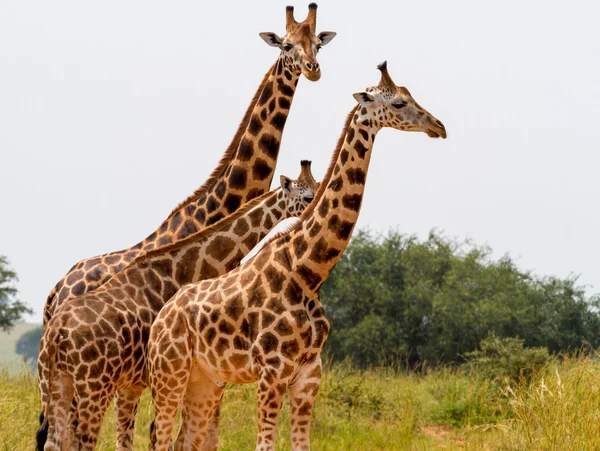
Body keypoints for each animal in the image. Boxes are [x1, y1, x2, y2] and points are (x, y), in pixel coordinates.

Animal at [36, 163, 318, 451]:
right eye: (307, 197)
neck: (183, 269)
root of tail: (56, 331)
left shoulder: (139, 382)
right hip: (92, 388)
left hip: (51, 383)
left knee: (54, 441)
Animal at [145, 61, 446, 451]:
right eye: (397, 103)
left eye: (410, 96)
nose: (438, 126)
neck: (307, 272)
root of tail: (161, 318)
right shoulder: (272, 372)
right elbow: (264, 445)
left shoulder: (309, 375)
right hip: (169, 371)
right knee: (160, 437)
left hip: (206, 378)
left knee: (186, 440)